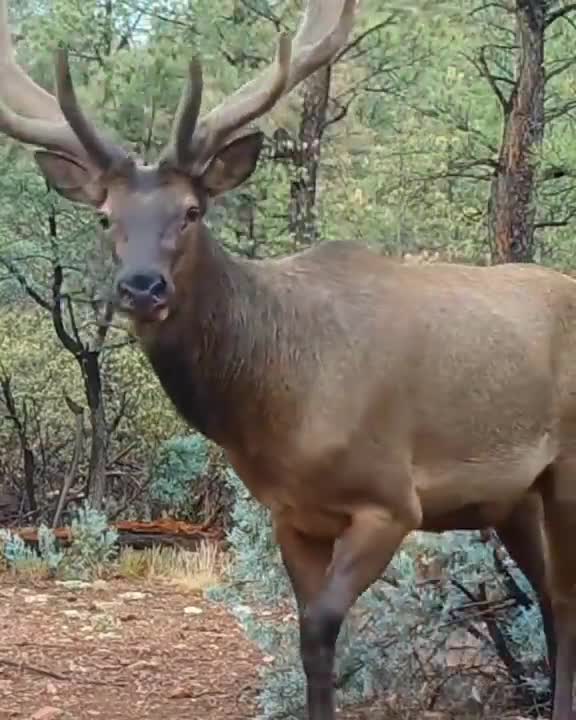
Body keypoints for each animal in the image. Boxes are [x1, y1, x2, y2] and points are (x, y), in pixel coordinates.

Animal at [0, 0, 575, 717]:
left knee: (565, 601)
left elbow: (322, 625)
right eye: (106, 216)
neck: (279, 408)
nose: (141, 287)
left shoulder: (390, 501)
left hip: (566, 467)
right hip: (513, 499)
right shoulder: (291, 515)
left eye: (193, 210)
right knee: (550, 600)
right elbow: (308, 643)